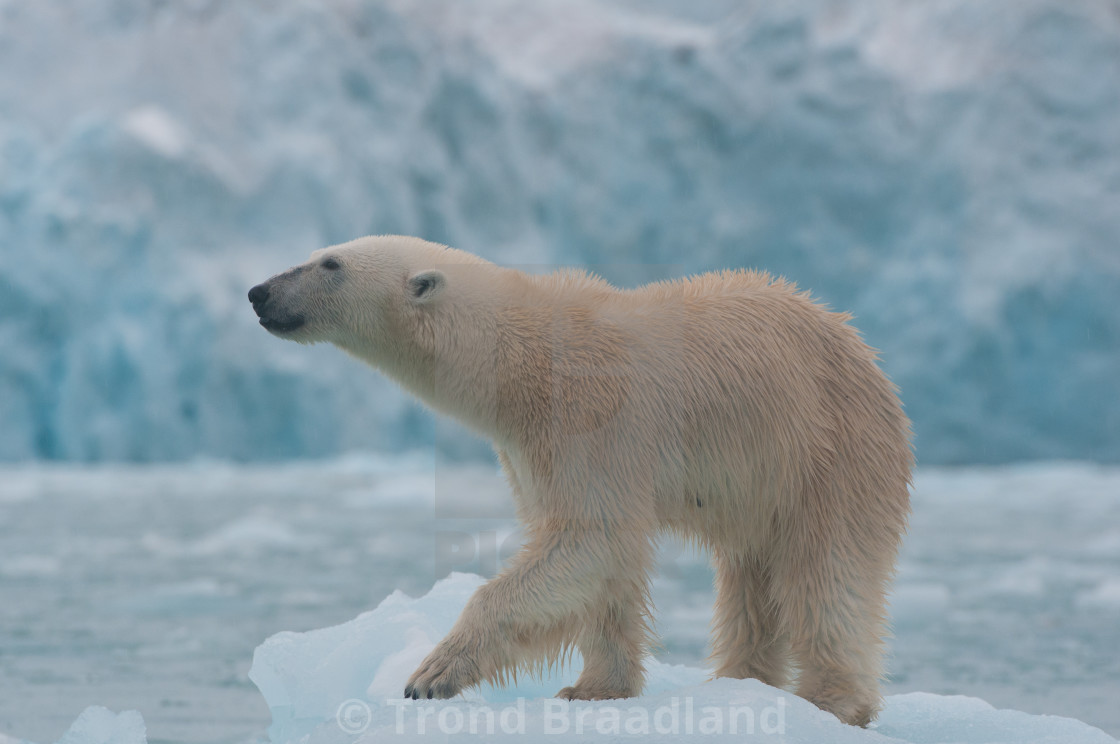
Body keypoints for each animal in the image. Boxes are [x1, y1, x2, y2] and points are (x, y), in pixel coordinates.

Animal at [247, 235, 909, 721]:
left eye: (330, 263)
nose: (258, 293)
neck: (522, 356)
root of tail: (865, 353)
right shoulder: (532, 451)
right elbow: (600, 564)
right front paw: (593, 689)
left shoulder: (591, 420)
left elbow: (591, 539)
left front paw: (432, 674)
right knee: (751, 579)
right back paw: (740, 679)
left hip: (827, 451)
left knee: (826, 573)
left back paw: (831, 701)